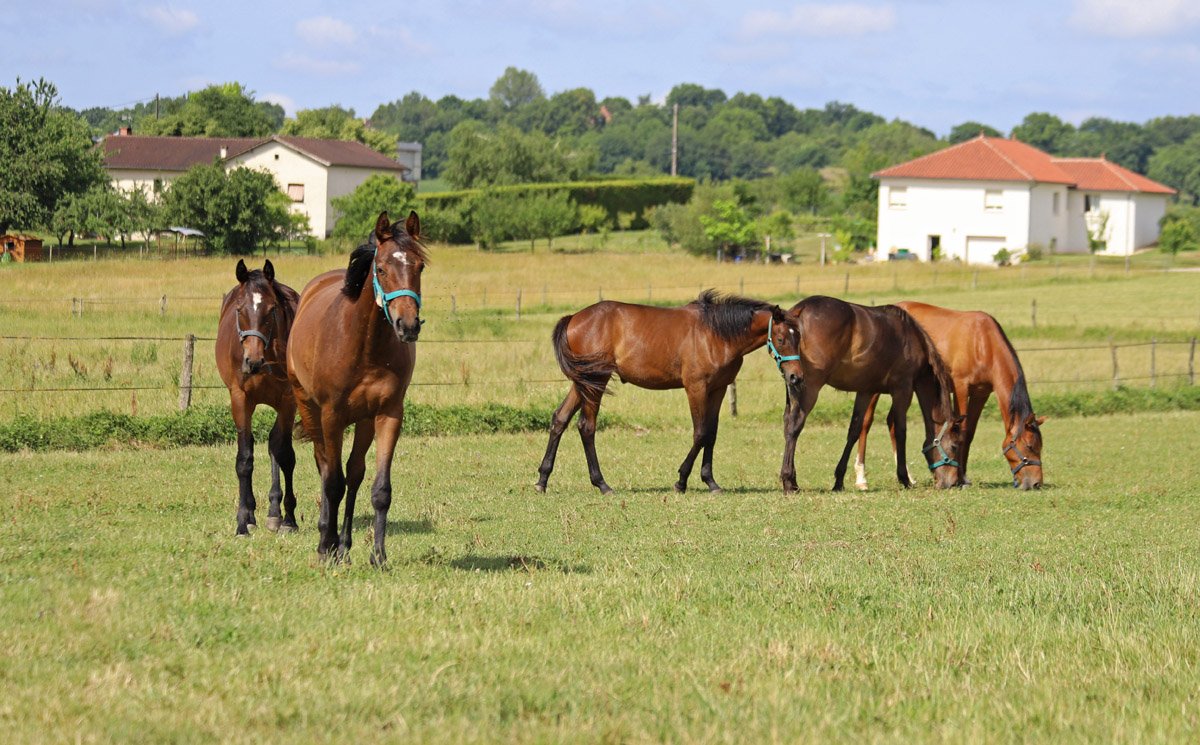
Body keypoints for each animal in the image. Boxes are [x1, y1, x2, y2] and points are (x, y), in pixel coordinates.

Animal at [215, 259, 301, 535]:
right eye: (239, 309)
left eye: (271, 309)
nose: (252, 361)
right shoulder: (240, 398)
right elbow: (245, 458)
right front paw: (243, 520)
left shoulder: (288, 400)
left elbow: (284, 454)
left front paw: (288, 519)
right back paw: (253, 512)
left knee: (275, 444)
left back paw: (275, 512)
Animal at [287, 211, 426, 564]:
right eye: (382, 269)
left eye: (420, 267)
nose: (408, 325)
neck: (365, 346)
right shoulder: (331, 416)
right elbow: (332, 482)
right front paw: (325, 546)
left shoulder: (388, 414)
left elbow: (378, 488)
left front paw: (378, 555)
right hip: (309, 407)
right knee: (325, 467)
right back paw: (327, 538)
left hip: (363, 421)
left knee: (354, 472)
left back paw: (344, 544)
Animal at [536, 290, 793, 495]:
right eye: (781, 338)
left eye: (797, 336)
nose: (794, 377)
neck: (716, 333)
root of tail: (573, 318)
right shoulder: (696, 388)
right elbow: (700, 433)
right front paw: (681, 481)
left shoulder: (718, 389)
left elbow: (711, 434)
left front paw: (710, 481)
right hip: (595, 381)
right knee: (586, 427)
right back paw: (602, 484)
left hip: (583, 382)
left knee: (560, 418)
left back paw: (542, 479)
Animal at [769, 296, 964, 493]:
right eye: (955, 446)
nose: (953, 483)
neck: (912, 339)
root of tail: (798, 310)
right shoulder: (903, 390)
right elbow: (901, 431)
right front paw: (904, 478)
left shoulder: (866, 391)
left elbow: (854, 431)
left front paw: (839, 480)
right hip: (810, 387)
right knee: (795, 425)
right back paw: (788, 480)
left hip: (794, 383)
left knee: (788, 424)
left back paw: (792, 480)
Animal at [853, 301, 1046, 491]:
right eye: (1029, 446)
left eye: (1040, 447)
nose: (1036, 483)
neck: (983, 343)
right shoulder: (961, 387)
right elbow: (962, 430)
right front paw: (960, 478)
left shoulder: (980, 393)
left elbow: (970, 433)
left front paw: (964, 477)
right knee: (866, 423)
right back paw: (862, 478)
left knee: (892, 421)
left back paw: (908, 477)